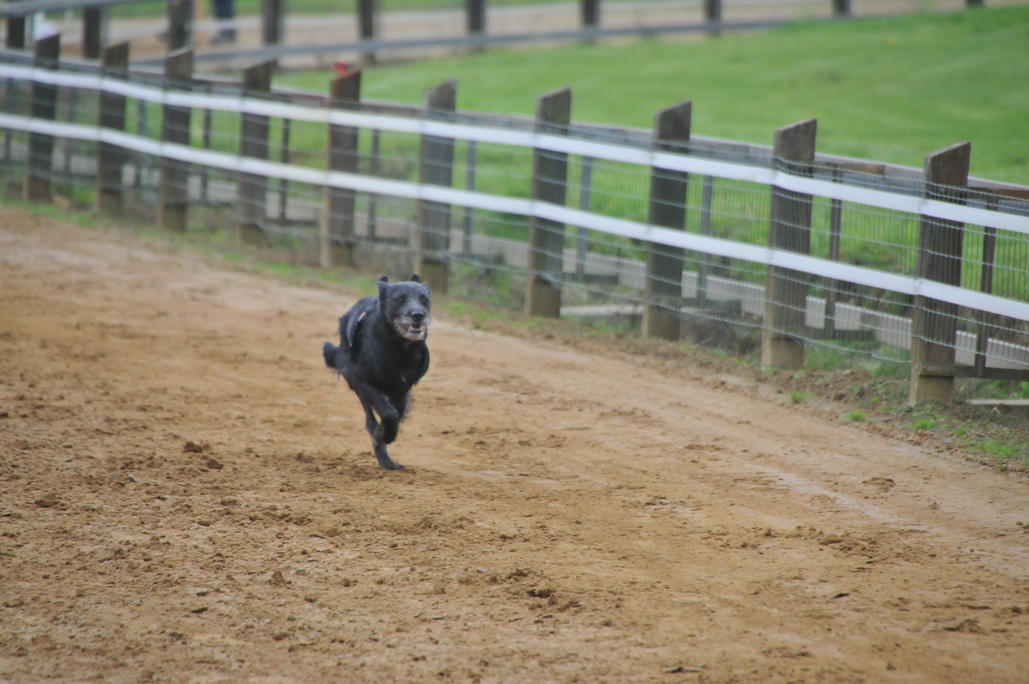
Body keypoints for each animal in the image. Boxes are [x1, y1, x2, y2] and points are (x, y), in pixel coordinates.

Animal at [323, 273, 432, 469]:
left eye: (424, 299)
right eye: (399, 299)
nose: (418, 315)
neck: (400, 349)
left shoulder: (401, 391)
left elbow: (396, 416)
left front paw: (388, 435)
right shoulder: (360, 380)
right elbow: (388, 414)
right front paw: (383, 434)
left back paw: (387, 459)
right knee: (370, 418)